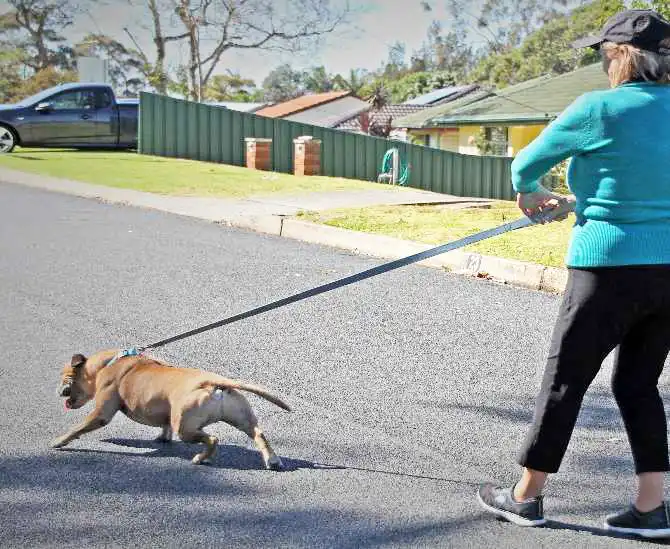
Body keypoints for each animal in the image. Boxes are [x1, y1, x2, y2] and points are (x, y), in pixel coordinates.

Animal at [51, 348, 292, 468]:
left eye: (65, 375)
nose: (58, 391)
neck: (107, 363)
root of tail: (216, 383)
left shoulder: (101, 413)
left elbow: (78, 427)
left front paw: (60, 440)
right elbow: (164, 425)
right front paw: (162, 437)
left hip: (184, 427)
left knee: (212, 439)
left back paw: (201, 458)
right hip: (241, 417)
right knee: (258, 433)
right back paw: (272, 460)